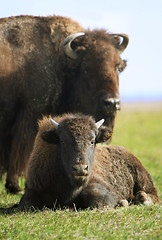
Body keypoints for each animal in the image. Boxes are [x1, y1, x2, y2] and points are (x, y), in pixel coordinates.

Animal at [0, 15, 129, 192]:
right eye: (86, 67)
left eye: (118, 66)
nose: (112, 103)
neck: (60, 63)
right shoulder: (29, 119)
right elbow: (23, 153)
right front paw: (16, 186)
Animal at [11, 113, 158, 211]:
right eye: (63, 141)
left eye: (92, 141)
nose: (80, 169)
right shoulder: (34, 188)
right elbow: (26, 204)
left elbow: (99, 199)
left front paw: (122, 203)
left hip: (143, 179)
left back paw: (143, 200)